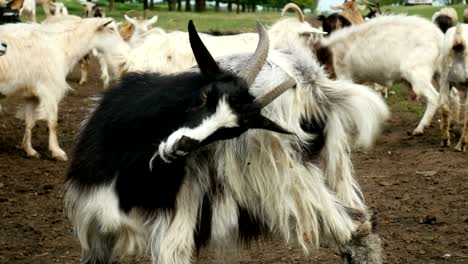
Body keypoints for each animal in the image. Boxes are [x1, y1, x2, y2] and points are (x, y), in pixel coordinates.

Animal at [0, 18, 124, 161]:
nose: (123, 48)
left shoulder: (32, 95)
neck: (63, 45)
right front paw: (57, 151)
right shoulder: (49, 90)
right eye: (111, 29)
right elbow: (53, 123)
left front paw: (30, 150)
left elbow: (30, 123)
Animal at [65, 19, 388, 264]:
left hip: (288, 181)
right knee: (360, 226)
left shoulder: (173, 228)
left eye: (232, 131)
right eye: (205, 95)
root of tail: (313, 85)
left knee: (354, 227)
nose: (180, 146)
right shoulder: (97, 227)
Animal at [316, 14, 444, 136]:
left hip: (417, 73)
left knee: (434, 97)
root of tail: (438, 37)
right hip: (440, 74)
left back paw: (420, 128)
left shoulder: (344, 77)